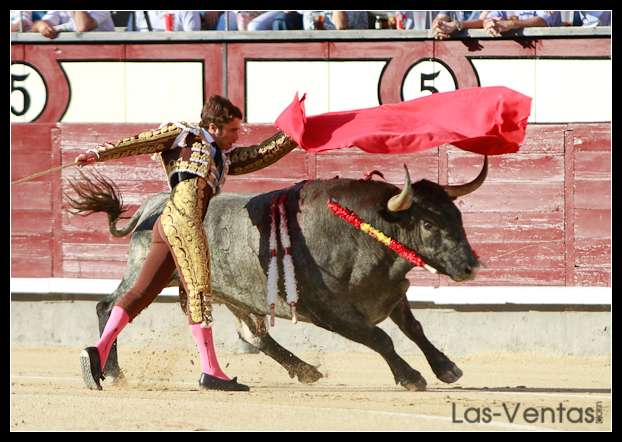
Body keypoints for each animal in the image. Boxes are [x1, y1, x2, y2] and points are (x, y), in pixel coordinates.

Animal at [66, 156, 487, 391]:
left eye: (457, 216)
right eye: (429, 224)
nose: (471, 266)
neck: (366, 235)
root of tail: (153, 205)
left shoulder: (392, 295)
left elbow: (415, 330)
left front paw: (447, 368)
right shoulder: (331, 313)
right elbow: (381, 339)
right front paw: (411, 378)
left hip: (231, 292)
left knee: (252, 334)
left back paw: (304, 370)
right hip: (150, 271)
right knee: (112, 306)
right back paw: (109, 371)